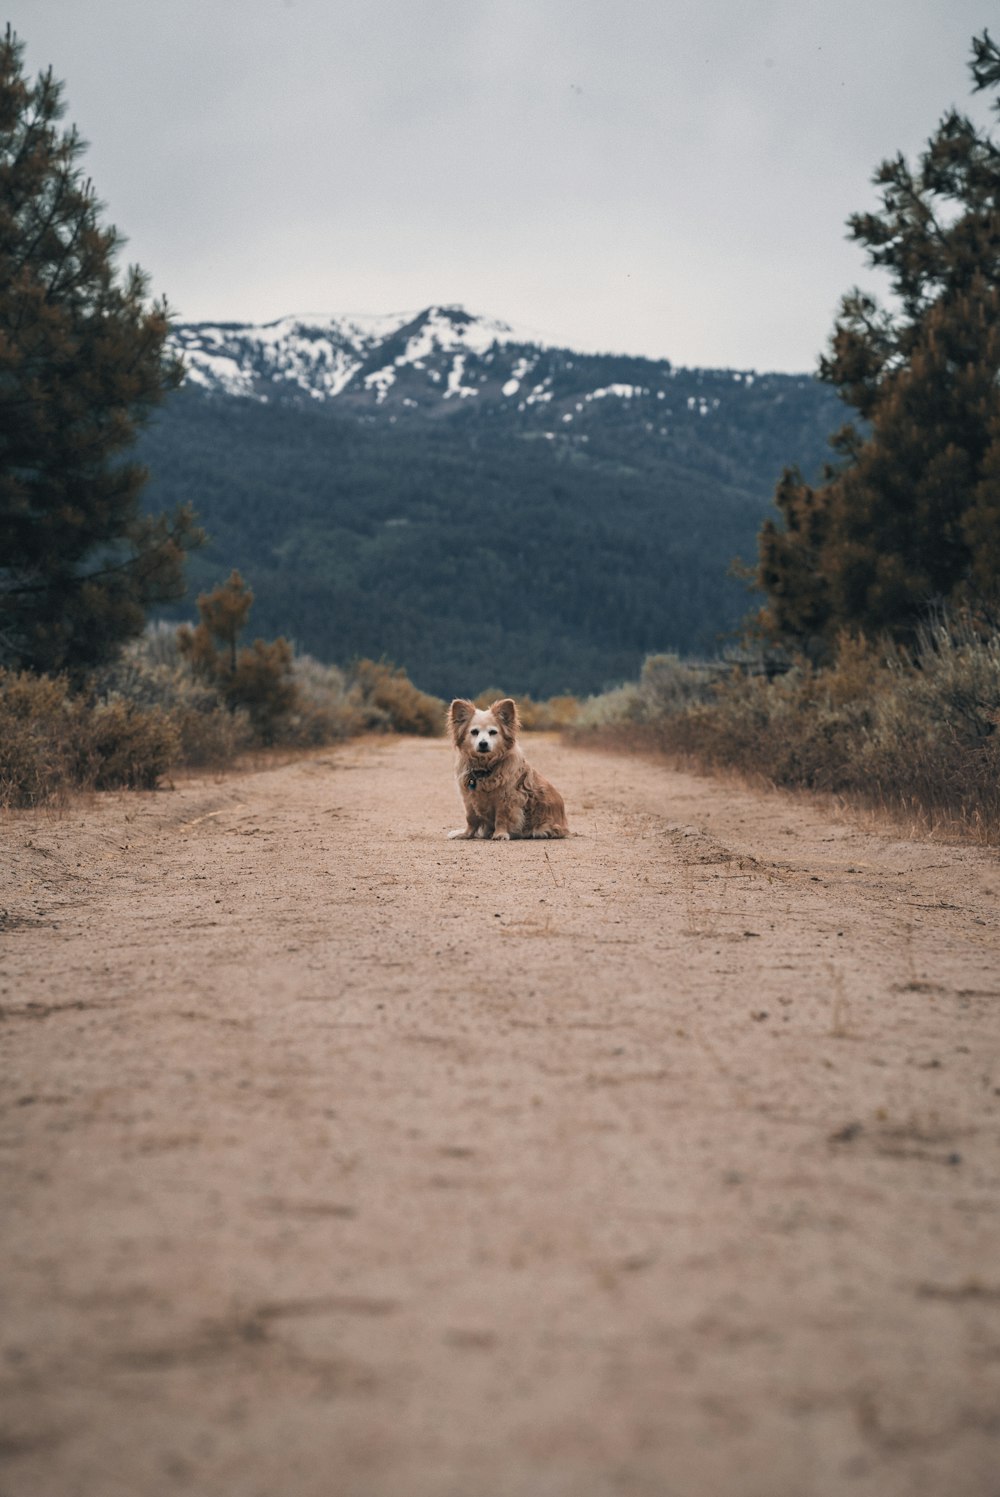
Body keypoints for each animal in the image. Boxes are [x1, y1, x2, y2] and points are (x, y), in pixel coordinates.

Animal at [446, 697, 565, 844]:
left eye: (493, 732)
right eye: (474, 732)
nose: (483, 743)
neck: (485, 768)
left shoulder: (506, 799)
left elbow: (501, 818)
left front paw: (500, 834)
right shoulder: (469, 799)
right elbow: (471, 819)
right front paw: (466, 834)